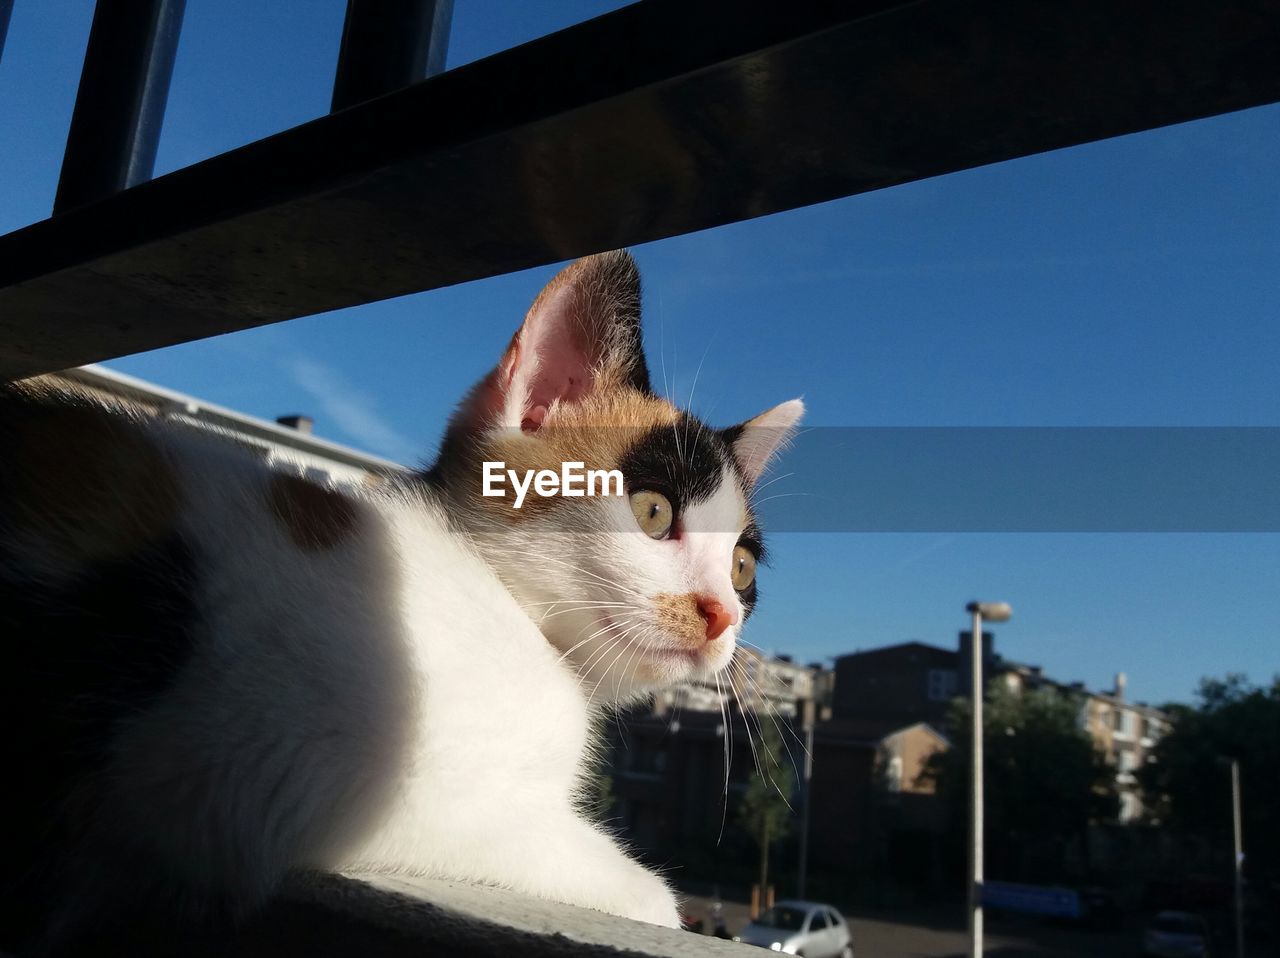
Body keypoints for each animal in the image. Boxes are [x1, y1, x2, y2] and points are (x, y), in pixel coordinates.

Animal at [0, 251, 798, 952]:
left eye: (741, 567)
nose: (722, 615)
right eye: (654, 512)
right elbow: (634, 887)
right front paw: (654, 900)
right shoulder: (349, 792)